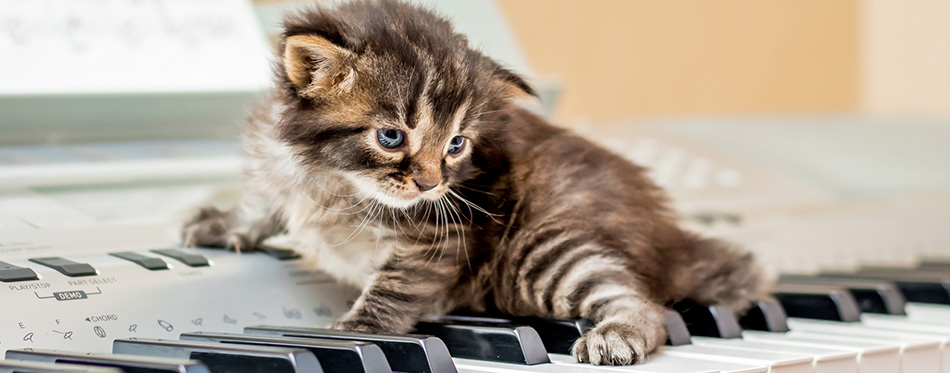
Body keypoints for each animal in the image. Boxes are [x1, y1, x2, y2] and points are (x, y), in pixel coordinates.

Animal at [180, 0, 768, 364]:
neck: (334, 178)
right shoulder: (277, 164)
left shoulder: (440, 238)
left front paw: (356, 336)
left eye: (457, 144)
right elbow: (262, 204)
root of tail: (667, 234)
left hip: (544, 251)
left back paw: (617, 335)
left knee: (643, 302)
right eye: (391, 136)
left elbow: (393, 289)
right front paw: (220, 223)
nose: (430, 185)